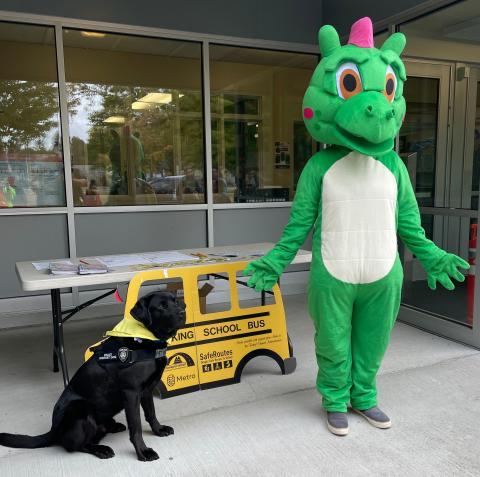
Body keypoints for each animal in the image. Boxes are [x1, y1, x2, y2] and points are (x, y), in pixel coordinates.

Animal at [0, 288, 186, 460]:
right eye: (161, 307)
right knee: (77, 445)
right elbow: (136, 427)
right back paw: (101, 449)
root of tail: (53, 430)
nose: (183, 312)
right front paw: (143, 451)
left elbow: (151, 414)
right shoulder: (131, 392)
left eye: (176, 301)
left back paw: (112, 427)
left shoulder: (146, 390)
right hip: (80, 409)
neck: (144, 339)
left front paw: (158, 430)